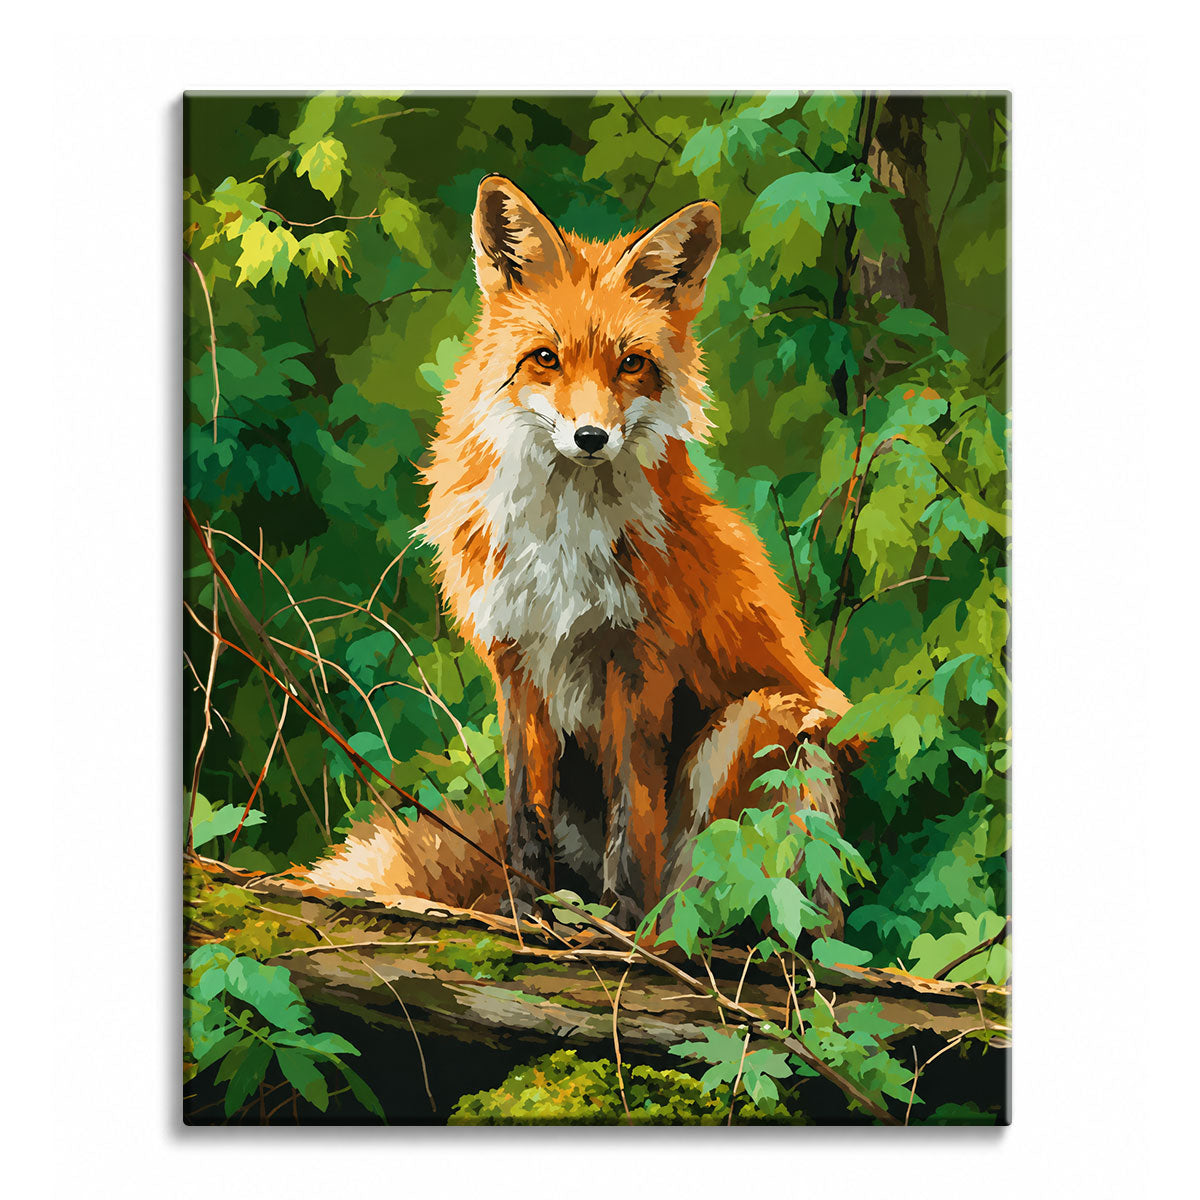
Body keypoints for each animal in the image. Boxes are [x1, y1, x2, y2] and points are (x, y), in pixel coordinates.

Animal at [306, 175, 855, 934]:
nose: (591, 437)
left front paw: (622, 923)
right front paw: (524, 911)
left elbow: (634, 812)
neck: (561, 541)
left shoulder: (638, 658)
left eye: (631, 363)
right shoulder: (515, 658)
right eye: (545, 357)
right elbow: (521, 811)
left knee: (727, 893)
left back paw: (676, 934)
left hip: (760, 723)